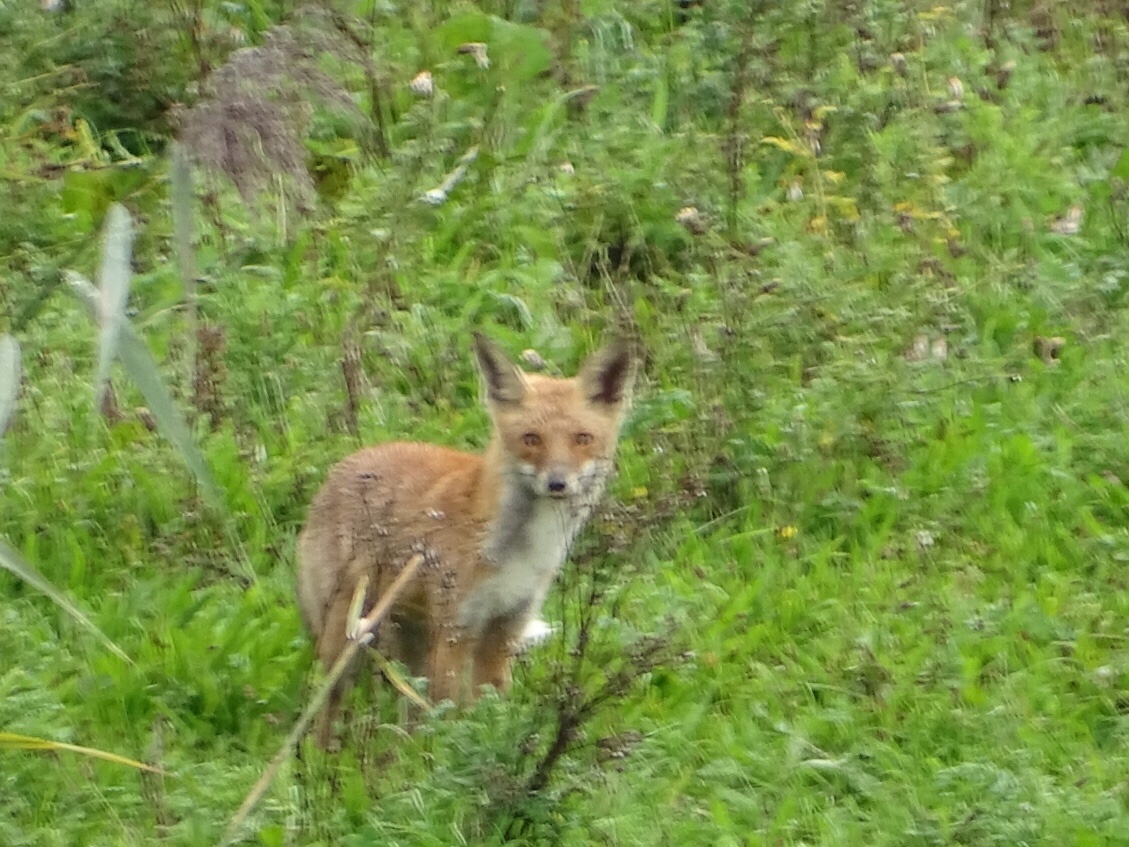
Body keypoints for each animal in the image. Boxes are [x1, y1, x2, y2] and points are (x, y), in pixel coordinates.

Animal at [295, 332, 641, 740]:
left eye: (582, 438)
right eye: (532, 439)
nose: (558, 483)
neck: (517, 553)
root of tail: (341, 466)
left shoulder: (506, 628)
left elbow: (489, 708)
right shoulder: (457, 629)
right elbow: (449, 716)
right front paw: (444, 753)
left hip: (410, 640)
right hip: (347, 639)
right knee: (327, 709)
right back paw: (322, 755)